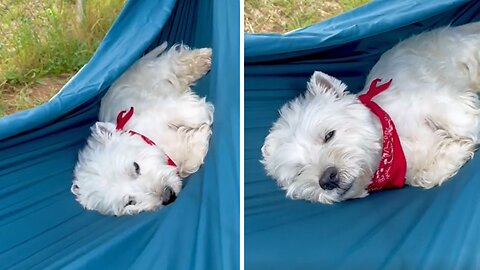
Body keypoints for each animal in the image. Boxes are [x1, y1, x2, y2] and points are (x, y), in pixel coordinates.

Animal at [71, 42, 214, 215]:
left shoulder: (163, 110)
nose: (167, 196)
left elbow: (194, 113)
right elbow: (189, 161)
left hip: (159, 71)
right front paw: (200, 138)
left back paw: (204, 58)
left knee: (176, 62)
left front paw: (203, 123)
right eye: (129, 202)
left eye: (136, 166)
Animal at [262, 22, 480, 204]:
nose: (327, 179)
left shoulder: (433, 100)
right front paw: (460, 149)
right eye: (299, 171)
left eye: (329, 135)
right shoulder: (419, 167)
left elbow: (462, 121)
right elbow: (429, 175)